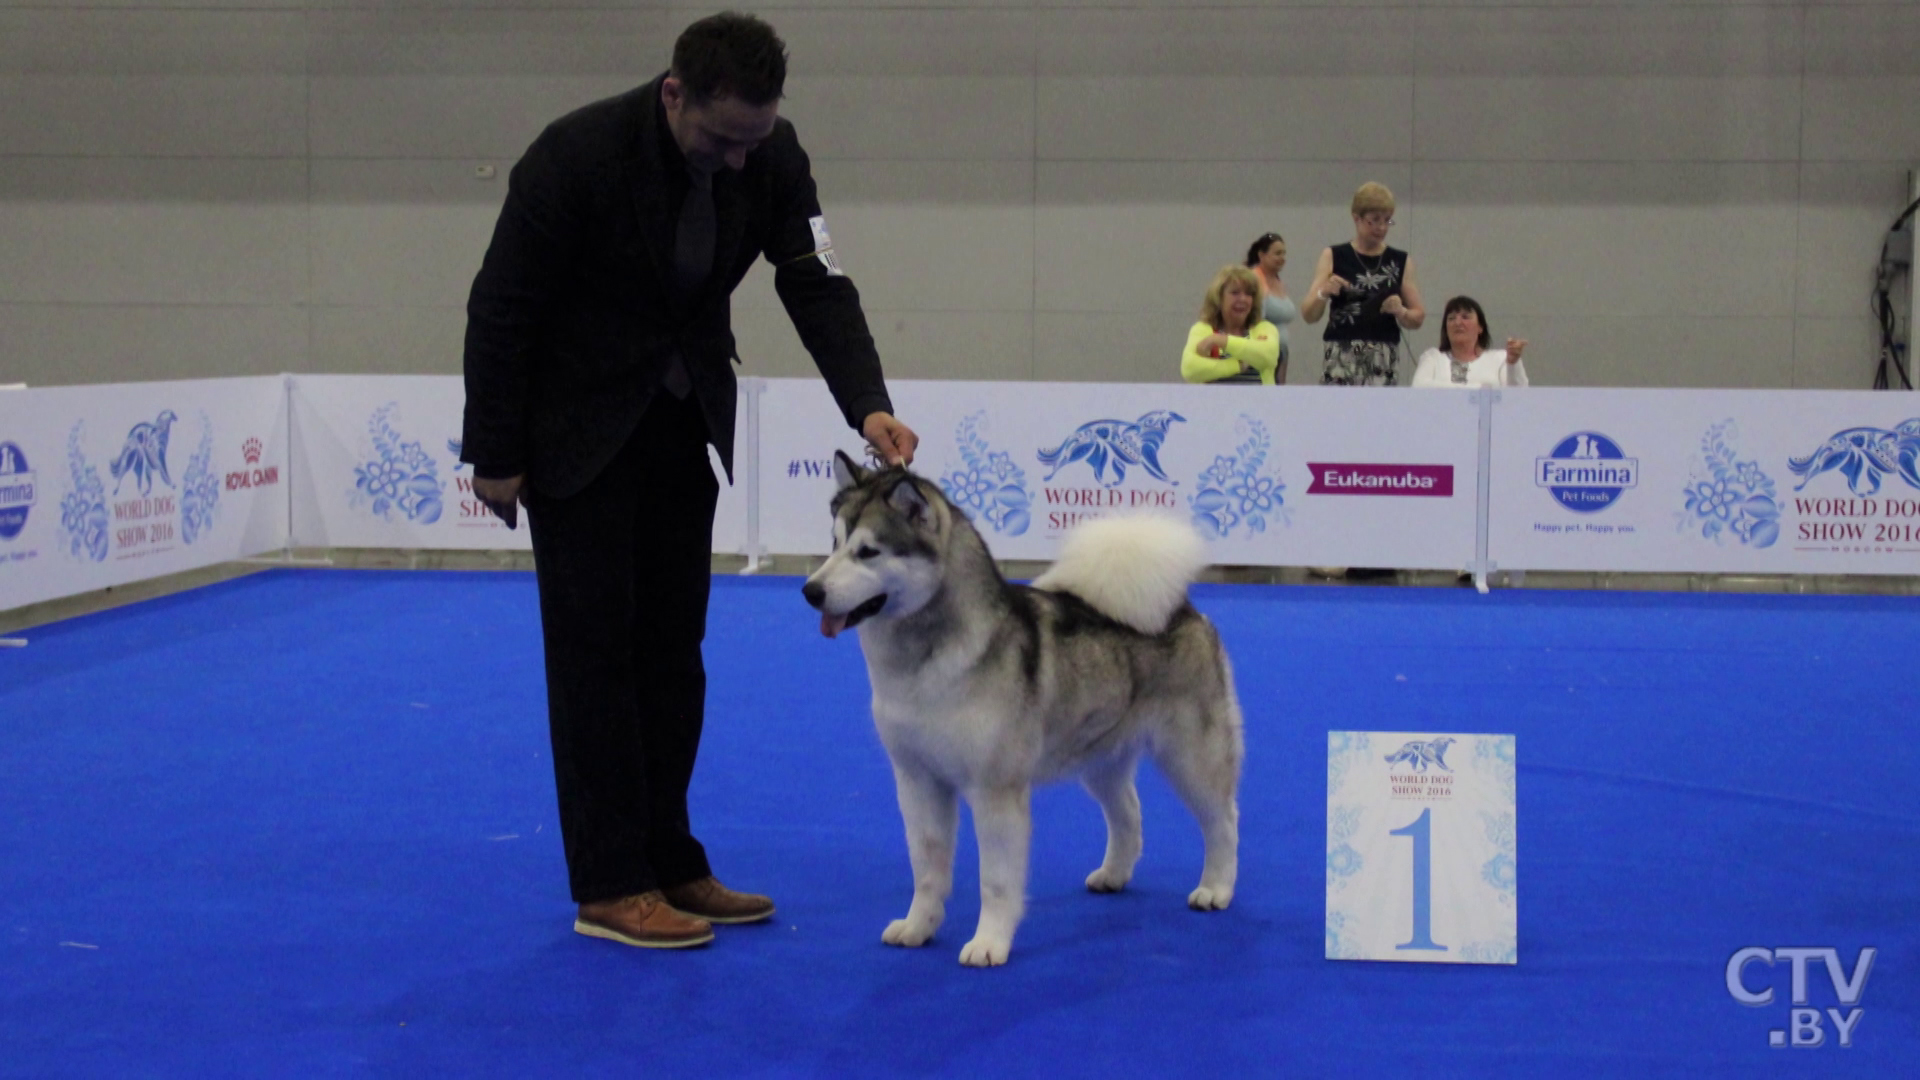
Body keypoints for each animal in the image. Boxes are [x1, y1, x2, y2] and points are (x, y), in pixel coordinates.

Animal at [798, 449, 1236, 960]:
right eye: (833, 544)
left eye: (868, 552)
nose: (810, 591)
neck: (925, 663)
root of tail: (1183, 608)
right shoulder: (917, 780)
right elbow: (927, 868)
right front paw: (918, 926)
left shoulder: (994, 789)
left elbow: (995, 880)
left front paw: (989, 943)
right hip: (1100, 757)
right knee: (1128, 812)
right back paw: (1113, 875)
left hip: (1191, 755)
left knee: (1222, 819)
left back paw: (1216, 888)